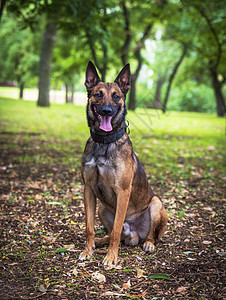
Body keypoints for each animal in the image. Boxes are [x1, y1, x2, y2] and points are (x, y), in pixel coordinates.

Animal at [78, 60, 167, 264]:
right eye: (98, 94)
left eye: (116, 96)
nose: (106, 110)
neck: (104, 142)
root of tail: (133, 234)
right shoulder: (88, 189)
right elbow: (89, 227)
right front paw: (87, 250)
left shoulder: (123, 191)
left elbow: (117, 229)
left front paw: (111, 257)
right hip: (102, 208)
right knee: (110, 233)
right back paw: (100, 241)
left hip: (156, 203)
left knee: (147, 234)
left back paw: (148, 243)